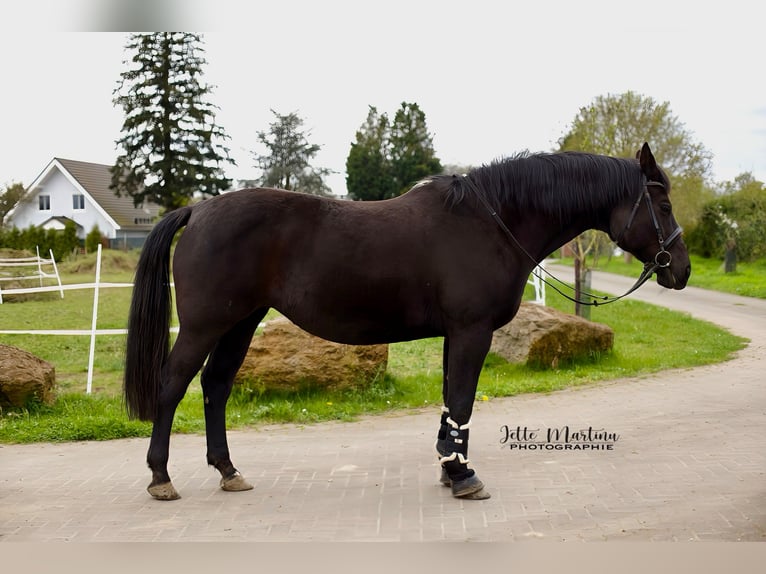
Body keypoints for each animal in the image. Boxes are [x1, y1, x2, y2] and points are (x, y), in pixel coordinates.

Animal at [124, 143, 688, 500]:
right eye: (661, 203)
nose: (679, 269)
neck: (491, 223)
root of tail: (197, 211)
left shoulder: (455, 335)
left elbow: (451, 403)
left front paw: (449, 467)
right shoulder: (471, 332)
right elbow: (462, 401)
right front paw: (463, 477)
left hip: (241, 323)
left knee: (216, 386)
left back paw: (228, 470)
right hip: (205, 325)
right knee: (173, 385)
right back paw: (159, 477)